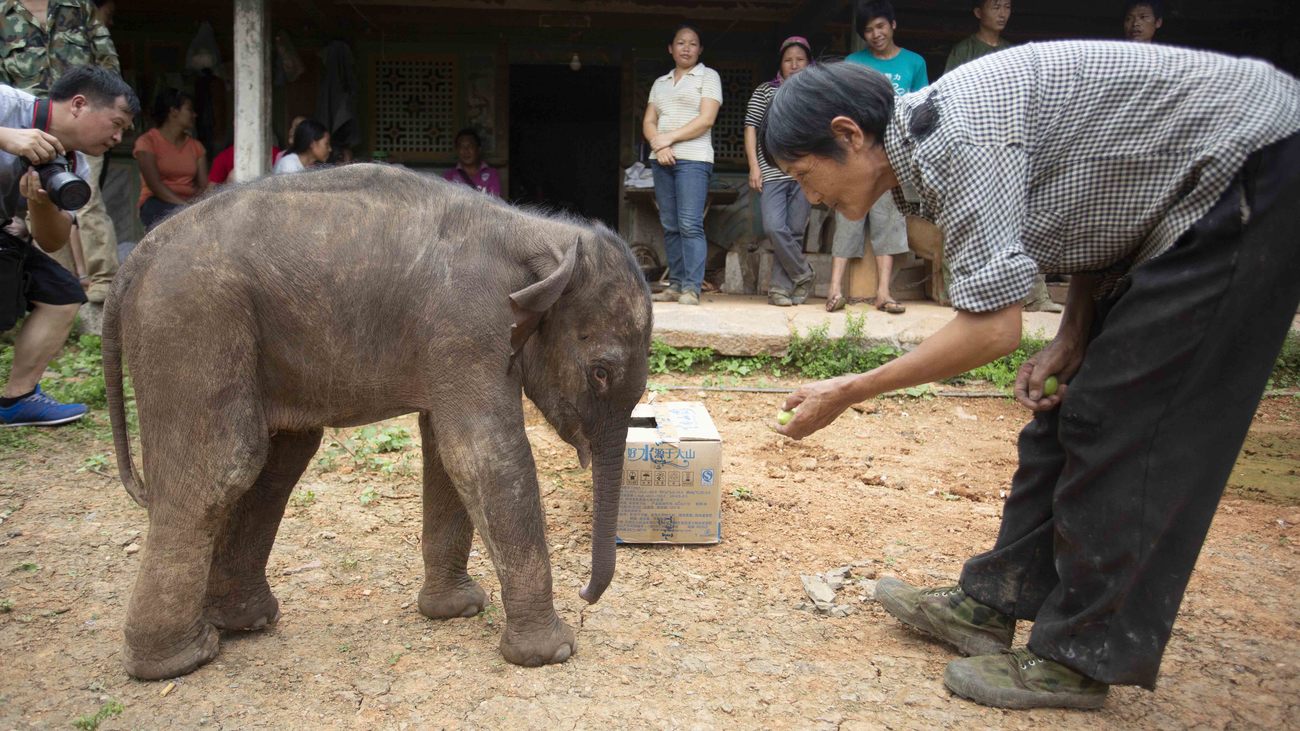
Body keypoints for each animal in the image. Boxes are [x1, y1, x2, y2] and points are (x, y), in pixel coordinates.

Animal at [102, 163, 655, 676]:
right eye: (601, 372)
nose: (585, 595)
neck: (542, 234)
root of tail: (136, 258)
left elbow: (446, 451)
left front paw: (456, 610)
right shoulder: (471, 325)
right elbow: (485, 457)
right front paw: (553, 653)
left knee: (281, 457)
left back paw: (244, 622)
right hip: (193, 323)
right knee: (223, 469)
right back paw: (180, 662)